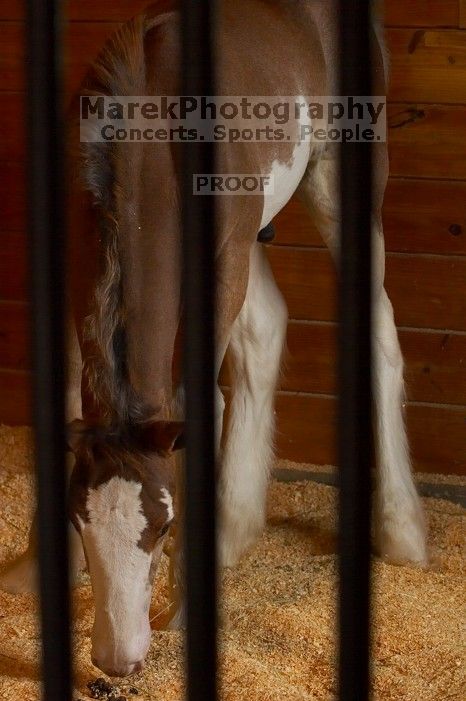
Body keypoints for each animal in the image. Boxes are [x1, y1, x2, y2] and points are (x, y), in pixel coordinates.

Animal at [0, 0, 428, 680]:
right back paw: (235, 528)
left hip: (340, 182)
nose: (118, 660)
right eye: (83, 526)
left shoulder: (221, 267)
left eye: (162, 529)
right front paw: (38, 571)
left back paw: (402, 531)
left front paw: (183, 608)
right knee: (266, 331)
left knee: (380, 332)